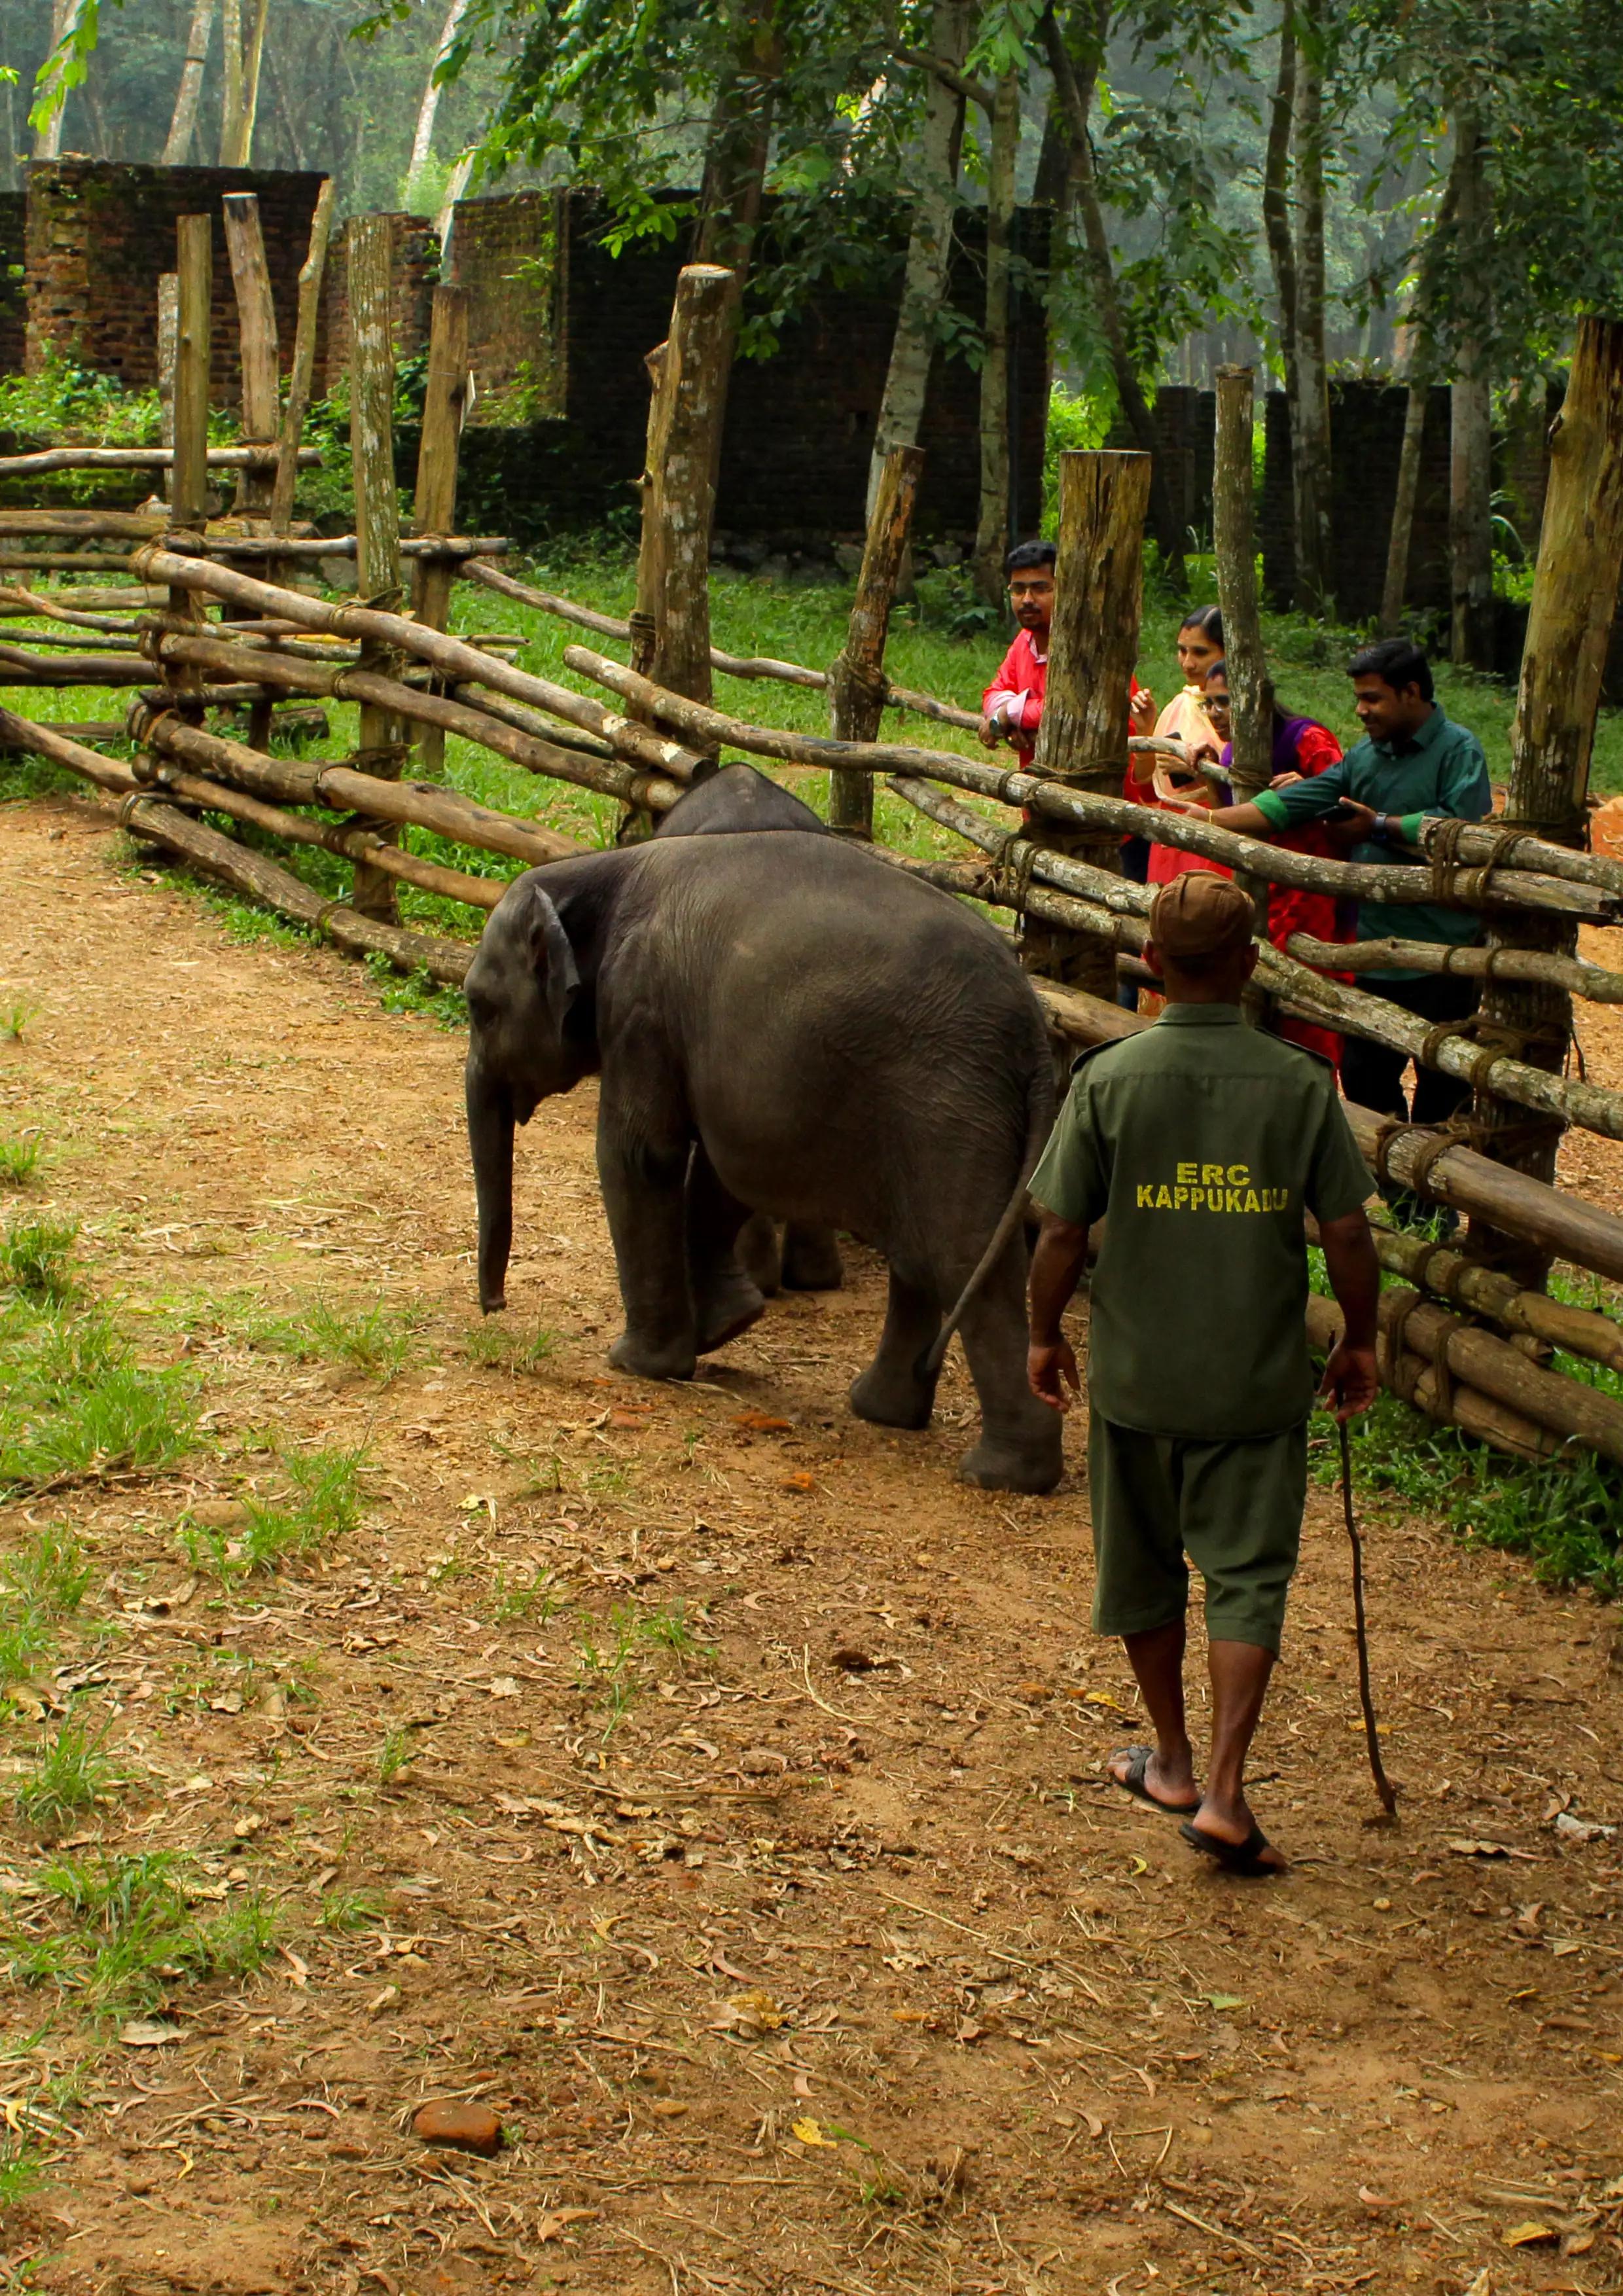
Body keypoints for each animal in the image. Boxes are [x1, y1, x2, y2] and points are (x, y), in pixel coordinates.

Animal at [461, 826, 1065, 1488]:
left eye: (478, 1008)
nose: (495, 1307)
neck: (595, 870)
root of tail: (1037, 1035)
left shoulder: (641, 1007)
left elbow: (643, 1156)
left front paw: (637, 1364)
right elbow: (723, 1172)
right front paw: (726, 1327)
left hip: (948, 1110)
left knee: (962, 1257)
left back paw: (1001, 1475)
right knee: (922, 1256)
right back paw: (880, 1411)